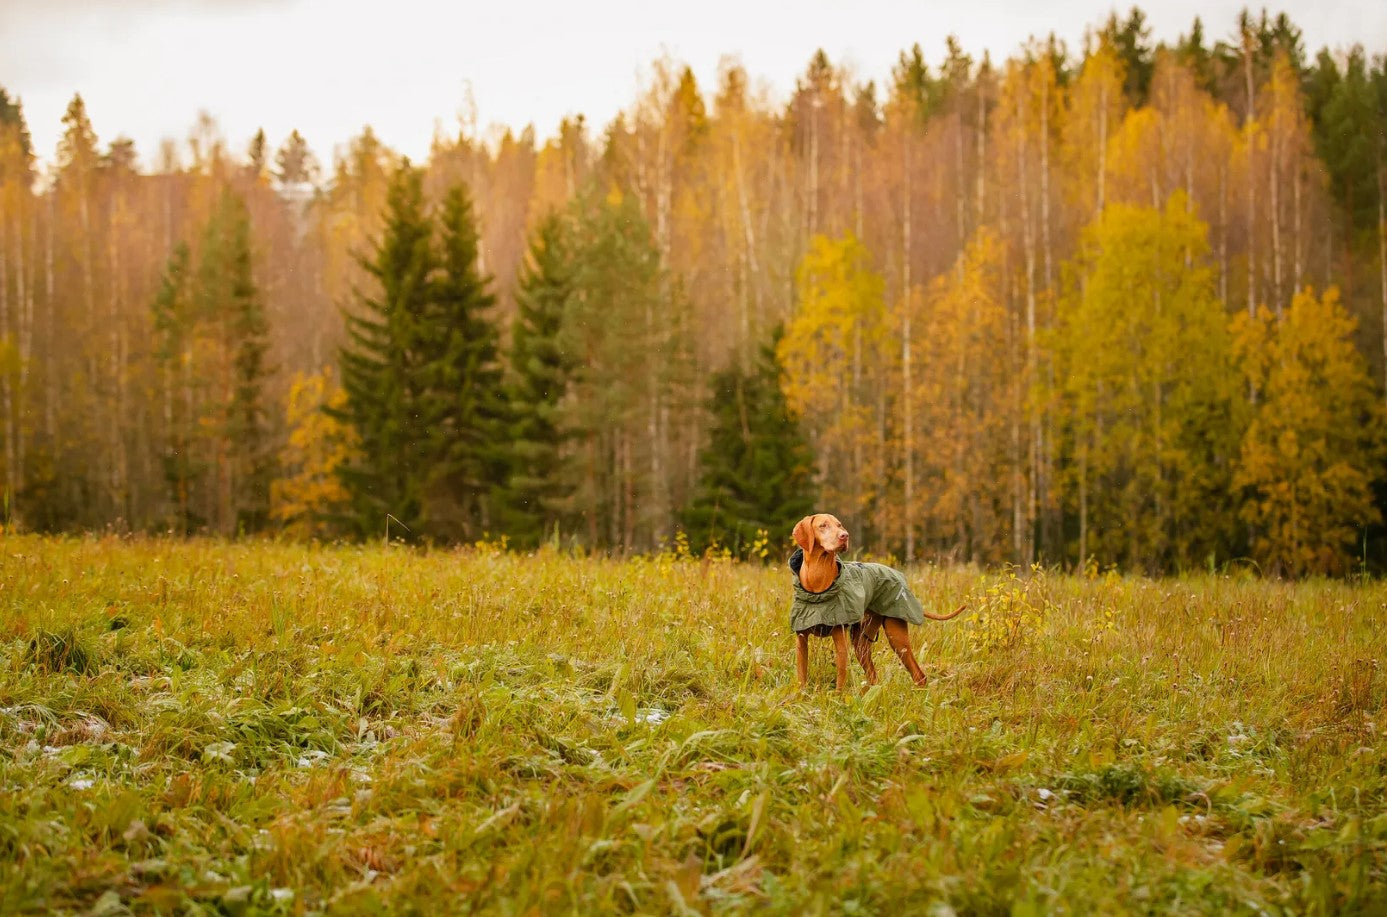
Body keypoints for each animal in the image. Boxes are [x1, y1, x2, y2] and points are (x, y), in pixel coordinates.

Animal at [793, 510, 965, 690]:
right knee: (874, 677)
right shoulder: (801, 641)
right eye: (823, 525)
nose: (844, 535)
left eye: (839, 525)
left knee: (919, 674)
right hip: (861, 643)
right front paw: (801, 694)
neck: (818, 585)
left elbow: (840, 680)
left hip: (896, 637)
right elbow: (801, 677)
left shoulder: (840, 639)